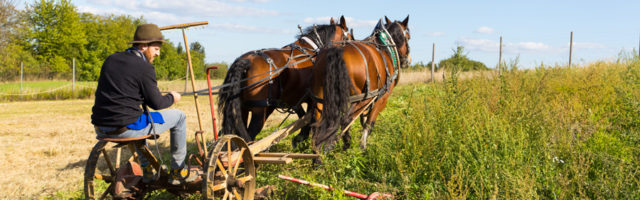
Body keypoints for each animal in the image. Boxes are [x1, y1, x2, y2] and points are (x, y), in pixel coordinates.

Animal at [218, 16, 352, 143]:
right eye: (349, 38)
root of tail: (246, 62)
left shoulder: (294, 99)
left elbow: (302, 116)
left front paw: (300, 138)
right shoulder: (312, 98)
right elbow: (309, 119)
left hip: (242, 110)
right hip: (260, 111)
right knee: (249, 138)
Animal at [310, 15, 410, 153]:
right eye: (408, 37)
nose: (407, 60)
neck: (385, 48)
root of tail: (337, 50)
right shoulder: (381, 98)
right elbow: (369, 123)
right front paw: (363, 146)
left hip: (320, 98)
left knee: (318, 123)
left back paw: (318, 154)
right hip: (360, 99)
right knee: (346, 120)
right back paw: (344, 145)